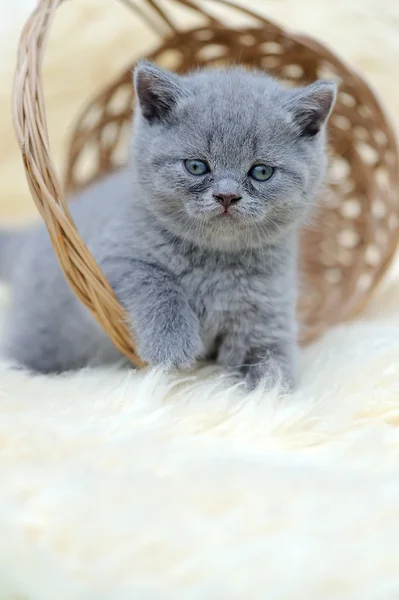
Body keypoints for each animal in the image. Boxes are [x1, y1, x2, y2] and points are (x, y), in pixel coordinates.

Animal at [0, 62, 338, 390]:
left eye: (261, 171)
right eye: (197, 166)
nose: (227, 196)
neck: (214, 261)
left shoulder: (268, 310)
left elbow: (269, 358)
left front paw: (271, 393)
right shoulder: (104, 262)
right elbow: (157, 282)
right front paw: (172, 345)